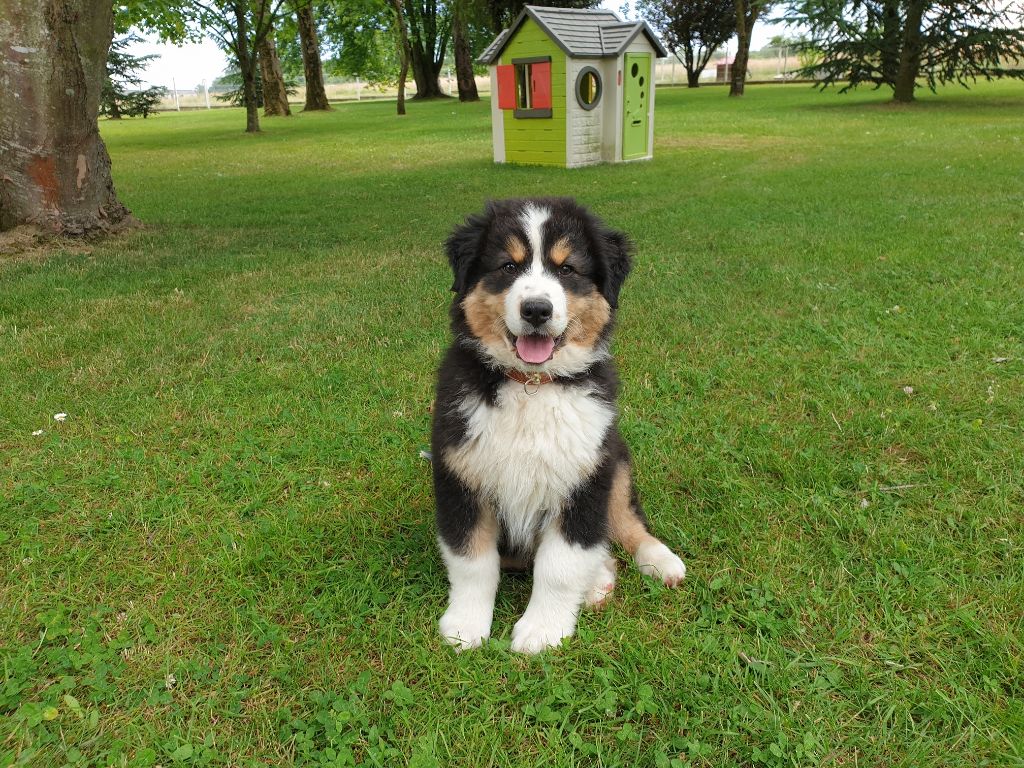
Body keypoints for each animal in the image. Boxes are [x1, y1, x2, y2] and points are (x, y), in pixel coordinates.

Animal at [432, 198, 688, 655]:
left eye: (567, 269)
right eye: (508, 266)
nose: (537, 309)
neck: (532, 386)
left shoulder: (584, 479)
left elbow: (561, 564)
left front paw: (542, 631)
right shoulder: (460, 476)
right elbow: (473, 562)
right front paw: (465, 626)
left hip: (615, 460)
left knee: (626, 520)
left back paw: (657, 562)